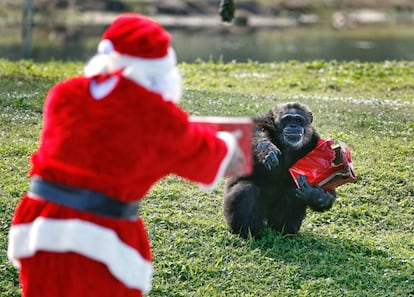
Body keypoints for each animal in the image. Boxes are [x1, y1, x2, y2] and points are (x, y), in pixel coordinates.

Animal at [223, 102, 336, 238]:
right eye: (287, 119)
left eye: (298, 120)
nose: (293, 125)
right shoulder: (264, 121)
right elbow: (251, 131)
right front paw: (265, 148)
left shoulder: (318, 146)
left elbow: (329, 188)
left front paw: (313, 193)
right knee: (246, 190)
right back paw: (246, 232)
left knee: (292, 193)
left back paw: (284, 232)